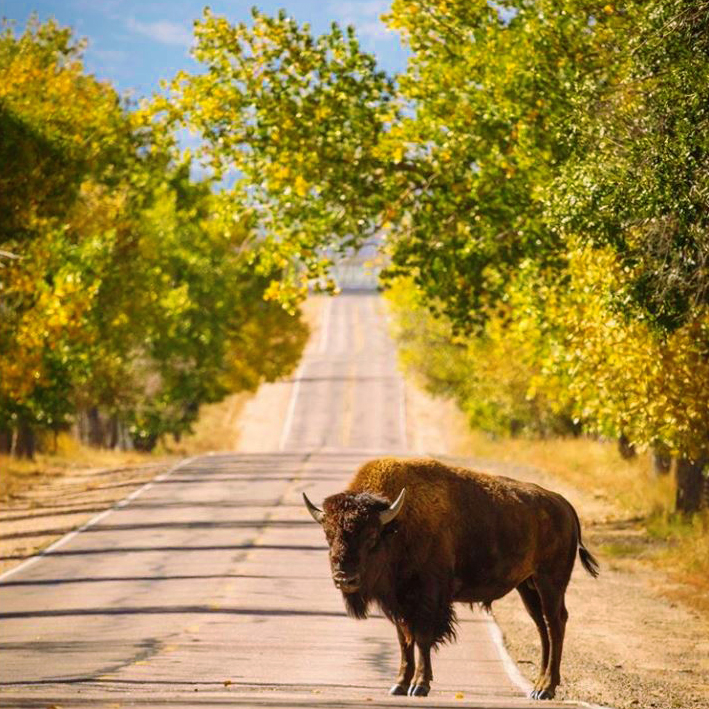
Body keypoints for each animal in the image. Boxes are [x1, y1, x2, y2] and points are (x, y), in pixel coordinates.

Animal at [302, 460, 596, 696]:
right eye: (328, 535)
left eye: (371, 537)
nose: (345, 578)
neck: (397, 526)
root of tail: (564, 505)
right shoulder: (399, 604)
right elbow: (404, 640)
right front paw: (398, 685)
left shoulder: (427, 597)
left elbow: (422, 638)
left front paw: (419, 686)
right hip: (528, 586)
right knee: (542, 627)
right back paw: (537, 687)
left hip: (550, 583)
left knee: (555, 624)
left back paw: (546, 689)